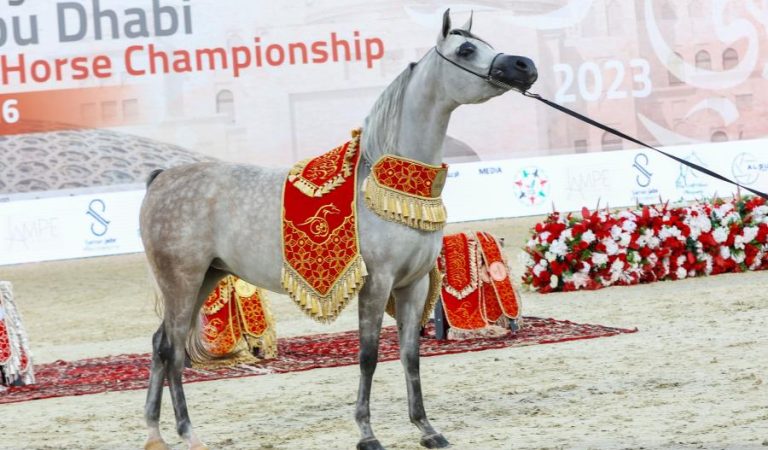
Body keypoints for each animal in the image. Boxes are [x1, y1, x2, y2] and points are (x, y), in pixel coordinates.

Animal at [139, 9, 537, 450]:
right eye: (466, 49)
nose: (525, 66)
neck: (386, 183)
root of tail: (161, 179)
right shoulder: (377, 283)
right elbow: (368, 355)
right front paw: (367, 433)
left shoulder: (413, 285)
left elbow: (410, 356)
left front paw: (426, 428)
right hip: (183, 281)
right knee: (173, 349)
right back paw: (187, 433)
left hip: (205, 278)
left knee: (160, 344)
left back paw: (155, 434)